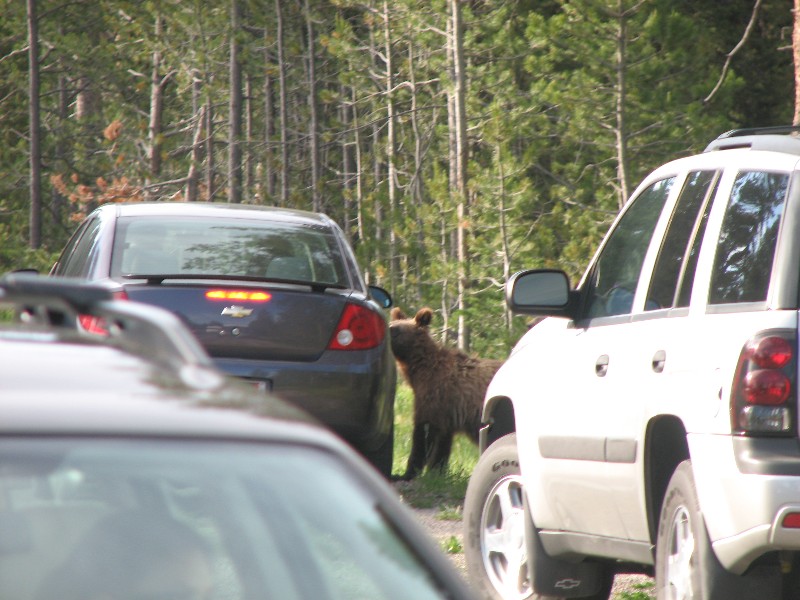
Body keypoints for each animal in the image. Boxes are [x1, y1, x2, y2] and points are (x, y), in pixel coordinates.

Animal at [390, 308, 504, 480]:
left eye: (395, 330)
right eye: (391, 325)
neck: (420, 369)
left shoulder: (434, 397)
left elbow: (423, 436)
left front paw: (407, 473)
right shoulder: (447, 412)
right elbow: (442, 445)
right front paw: (436, 470)